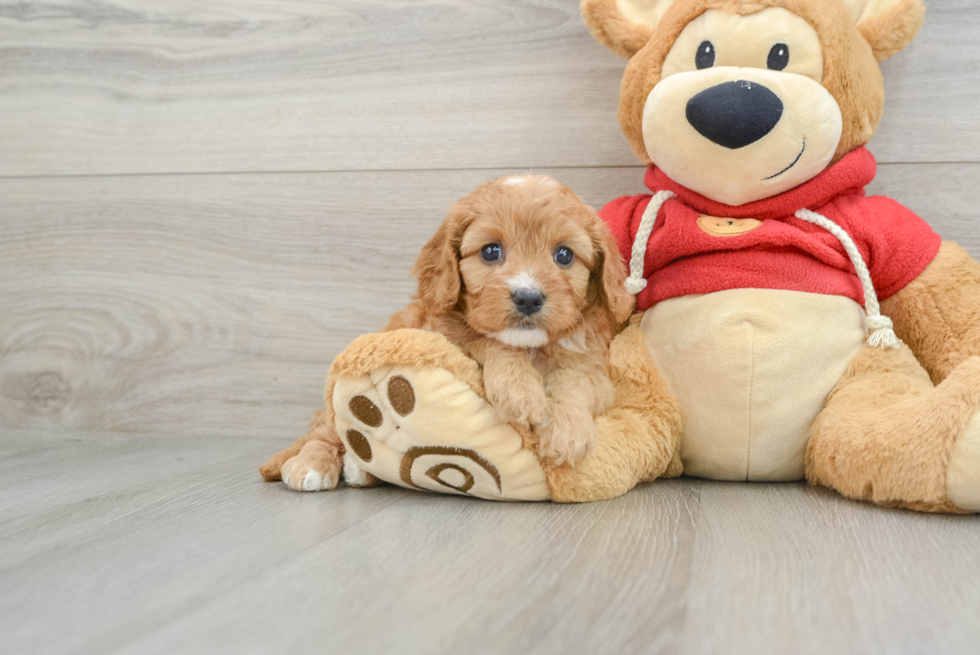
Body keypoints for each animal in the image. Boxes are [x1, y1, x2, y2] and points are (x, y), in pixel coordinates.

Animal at [386, 174, 632, 466]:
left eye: (564, 255)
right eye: (491, 251)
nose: (528, 298)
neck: (530, 347)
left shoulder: (598, 376)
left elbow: (572, 378)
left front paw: (567, 431)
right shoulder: (449, 339)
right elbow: (491, 341)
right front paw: (520, 391)